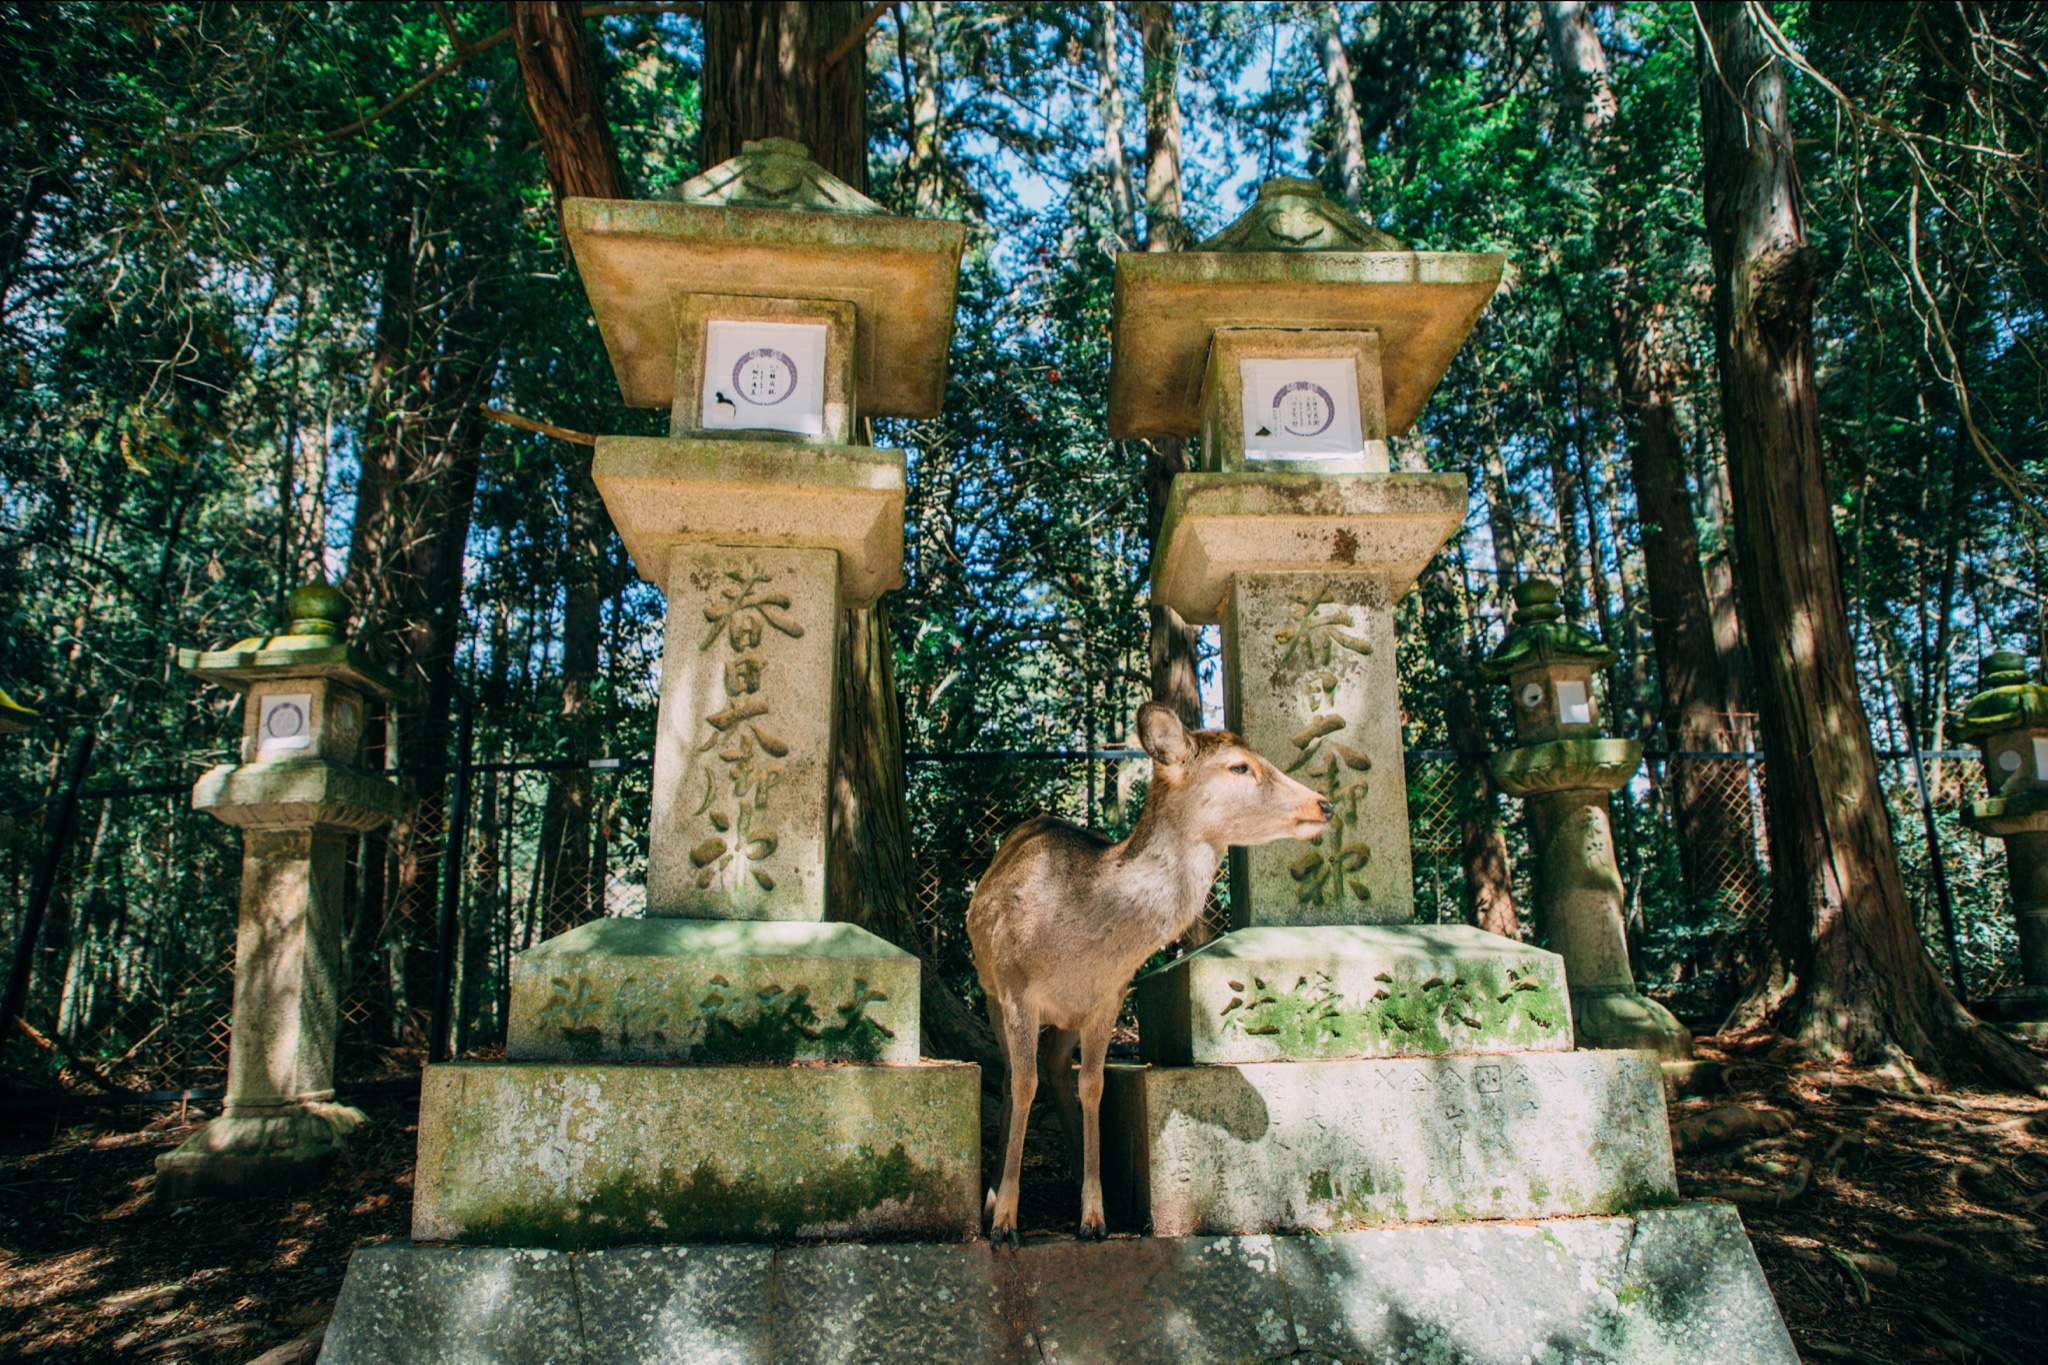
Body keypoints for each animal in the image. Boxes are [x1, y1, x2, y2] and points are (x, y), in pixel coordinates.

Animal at [966, 703, 1335, 1252]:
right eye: (1239, 766)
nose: (1324, 804)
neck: (1077, 946)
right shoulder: (1014, 988)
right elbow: (1024, 1084)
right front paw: (1006, 1222)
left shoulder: (1110, 997)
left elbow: (1094, 1084)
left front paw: (1094, 1217)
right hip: (991, 990)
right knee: (1015, 1075)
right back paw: (993, 1199)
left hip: (1069, 1017)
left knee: (1055, 1066)